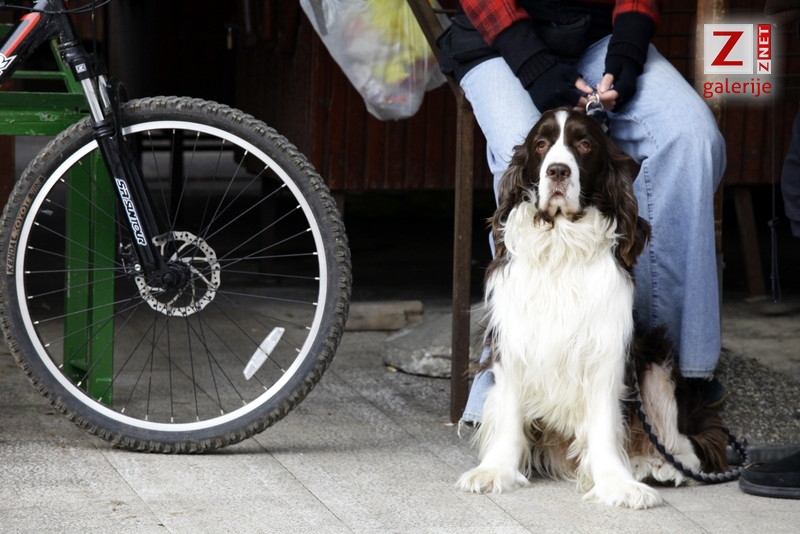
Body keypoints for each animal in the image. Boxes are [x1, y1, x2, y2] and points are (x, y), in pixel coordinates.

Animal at [457, 108, 728, 509]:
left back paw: (658, 466)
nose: (557, 171)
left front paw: (617, 484)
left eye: (584, 144)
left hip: (655, 361)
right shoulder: (514, 341)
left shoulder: (607, 349)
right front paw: (495, 472)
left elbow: (603, 424)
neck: (561, 246)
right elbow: (507, 412)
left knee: (684, 444)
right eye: (541, 144)